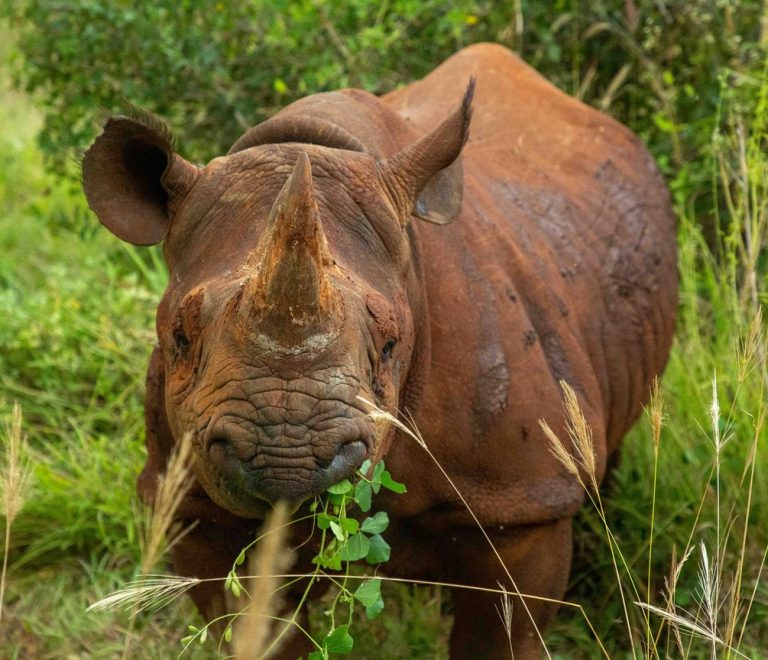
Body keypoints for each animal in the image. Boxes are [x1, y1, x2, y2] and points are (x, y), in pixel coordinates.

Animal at [82, 44, 677, 657]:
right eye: (180, 336)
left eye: (390, 344)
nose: (286, 460)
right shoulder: (191, 508)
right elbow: (254, 629)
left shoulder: (525, 503)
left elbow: (500, 634)